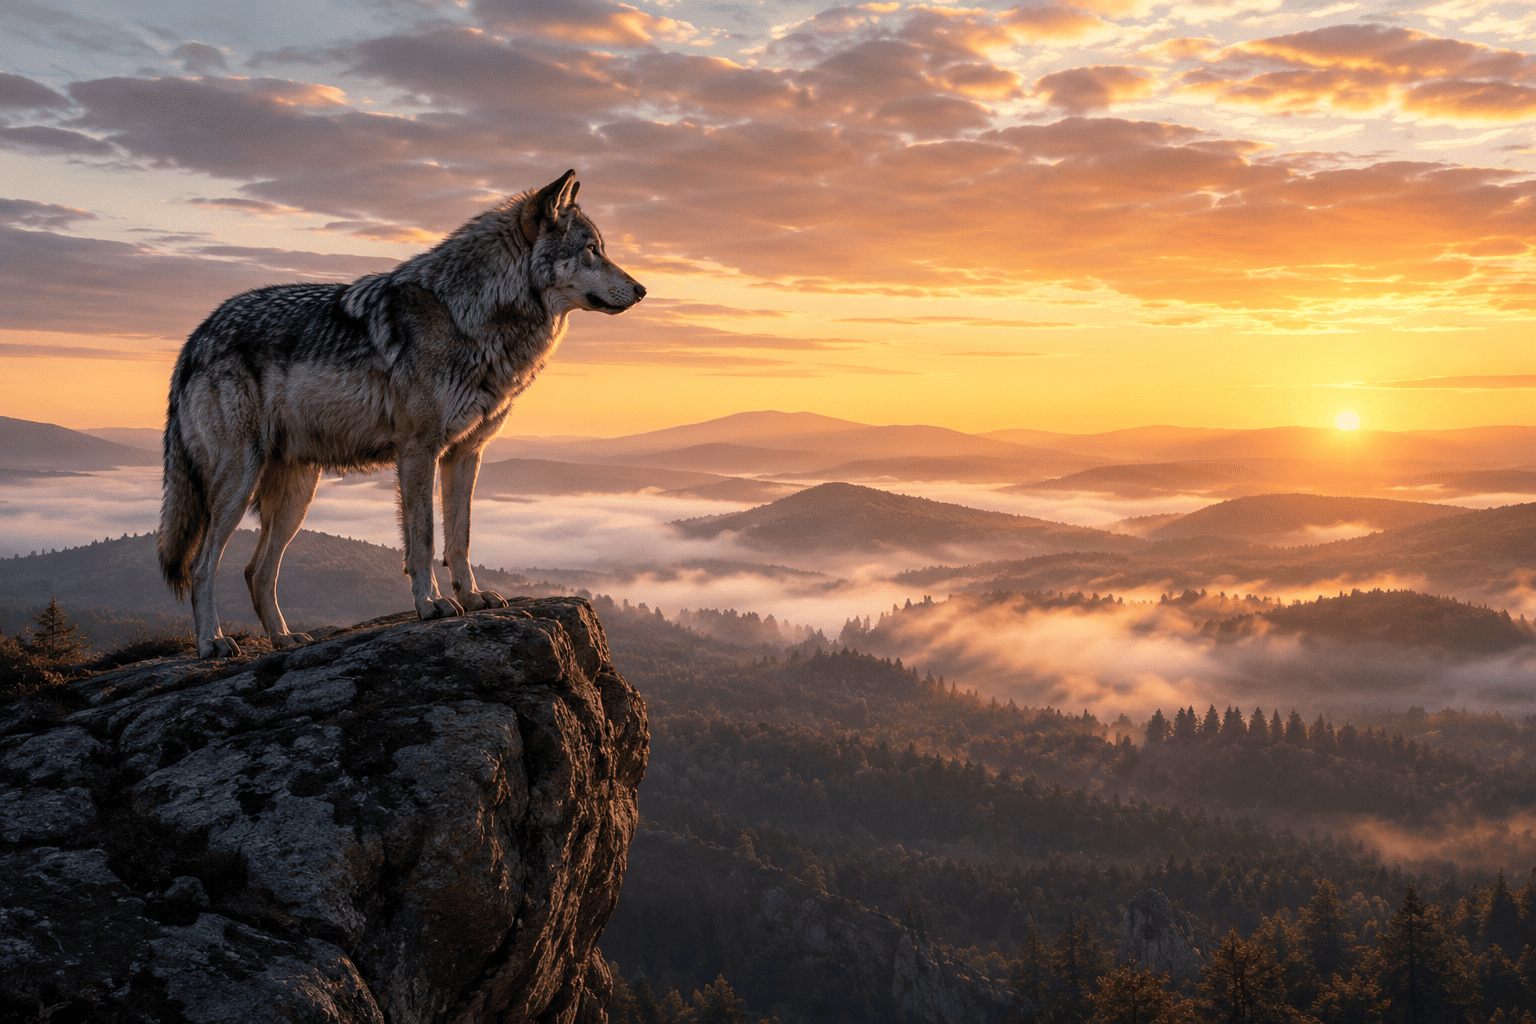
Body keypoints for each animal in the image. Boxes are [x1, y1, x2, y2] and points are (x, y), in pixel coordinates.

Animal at [158, 170, 644, 658]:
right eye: (592, 249)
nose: (642, 290)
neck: (467, 313)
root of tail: (195, 339)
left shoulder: (465, 454)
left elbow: (460, 538)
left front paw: (472, 597)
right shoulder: (418, 450)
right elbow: (424, 538)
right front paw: (431, 605)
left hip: (297, 493)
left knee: (257, 571)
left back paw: (284, 639)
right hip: (240, 480)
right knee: (202, 565)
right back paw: (212, 642)